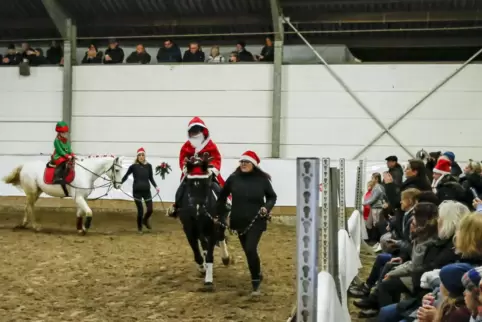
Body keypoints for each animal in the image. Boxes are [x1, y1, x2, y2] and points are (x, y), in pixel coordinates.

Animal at [180, 152, 231, 290]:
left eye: (206, 184)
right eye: (189, 183)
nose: (196, 210)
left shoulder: (213, 227)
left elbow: (209, 255)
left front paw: (208, 280)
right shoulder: (189, 229)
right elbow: (197, 252)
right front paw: (202, 268)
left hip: (220, 221)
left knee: (221, 236)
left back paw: (225, 258)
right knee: (203, 244)